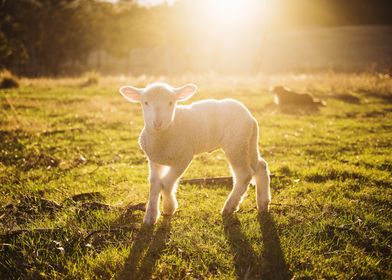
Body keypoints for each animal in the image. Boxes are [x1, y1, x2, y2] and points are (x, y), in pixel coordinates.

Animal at [119, 82, 272, 224]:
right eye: (145, 102)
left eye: (171, 102)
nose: (157, 123)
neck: (168, 130)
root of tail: (250, 117)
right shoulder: (154, 160)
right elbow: (154, 184)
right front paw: (150, 216)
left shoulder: (183, 158)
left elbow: (166, 183)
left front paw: (169, 208)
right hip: (248, 142)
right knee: (260, 166)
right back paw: (263, 204)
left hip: (236, 144)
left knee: (244, 175)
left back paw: (229, 207)